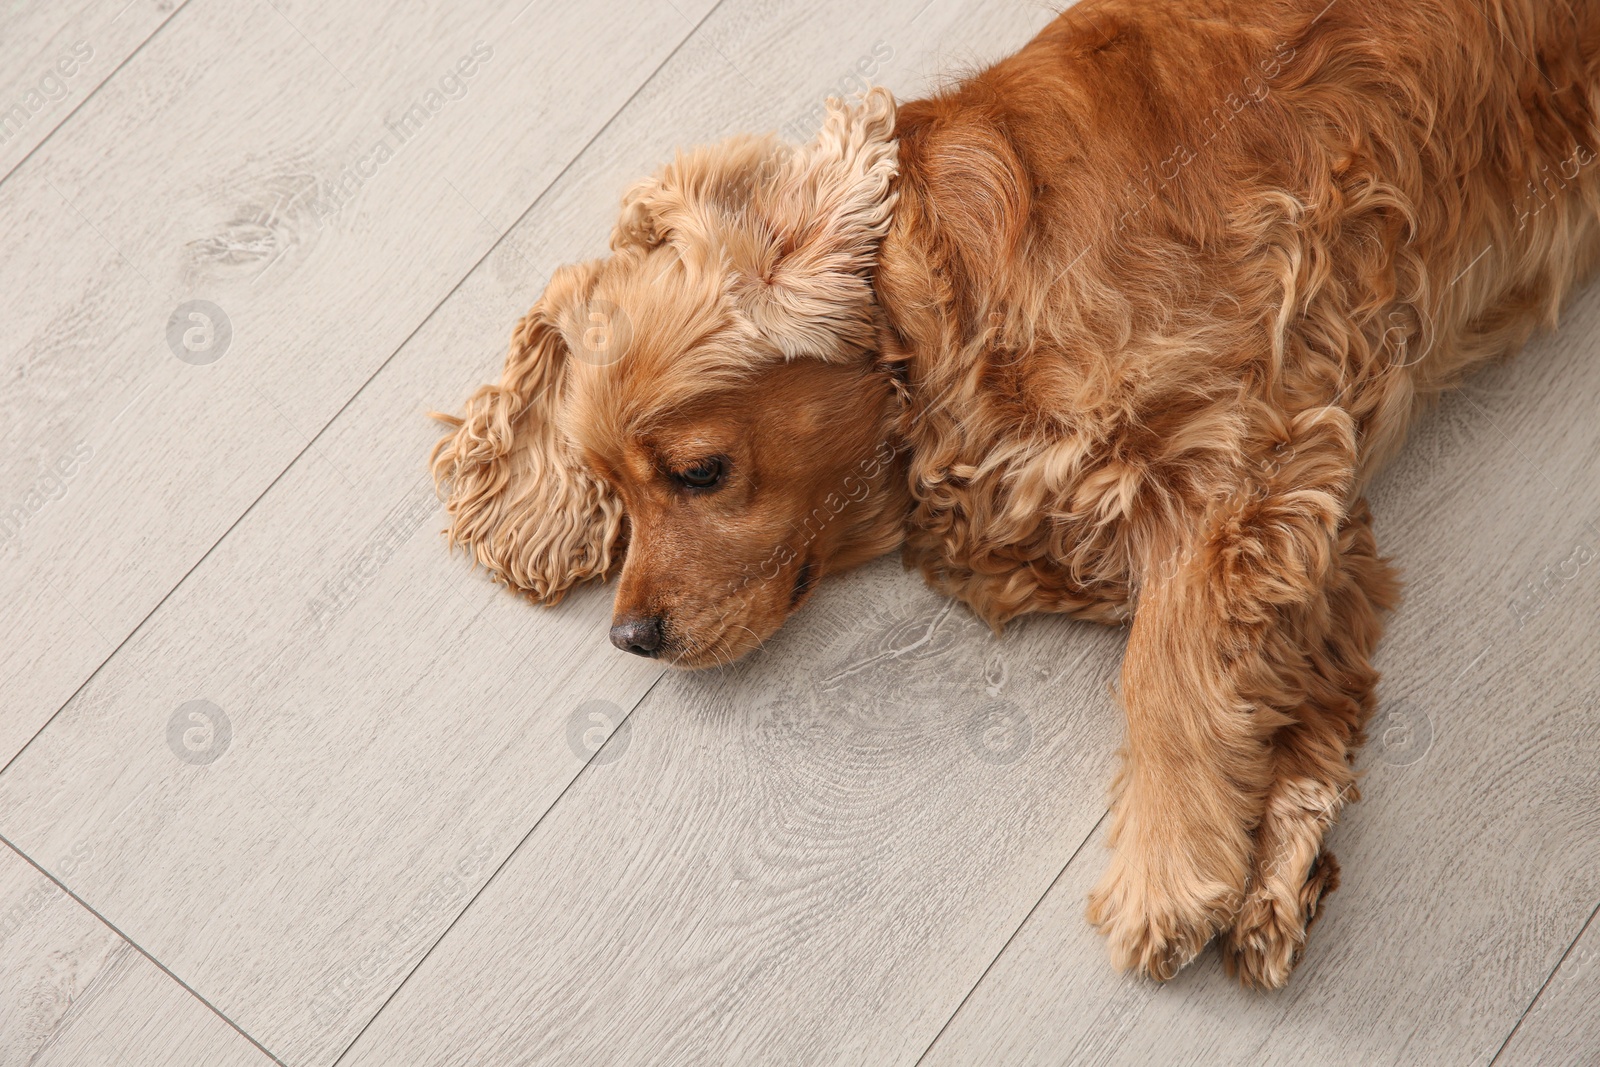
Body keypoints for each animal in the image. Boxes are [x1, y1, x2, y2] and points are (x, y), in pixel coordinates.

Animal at [425, 0, 1600, 991]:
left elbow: (1167, 670)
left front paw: (1170, 872)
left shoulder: (1245, 457)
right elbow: (1297, 679)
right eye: (608, 485)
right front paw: (1274, 865)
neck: (946, 306)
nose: (630, 637)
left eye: (700, 471)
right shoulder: (1318, 523)